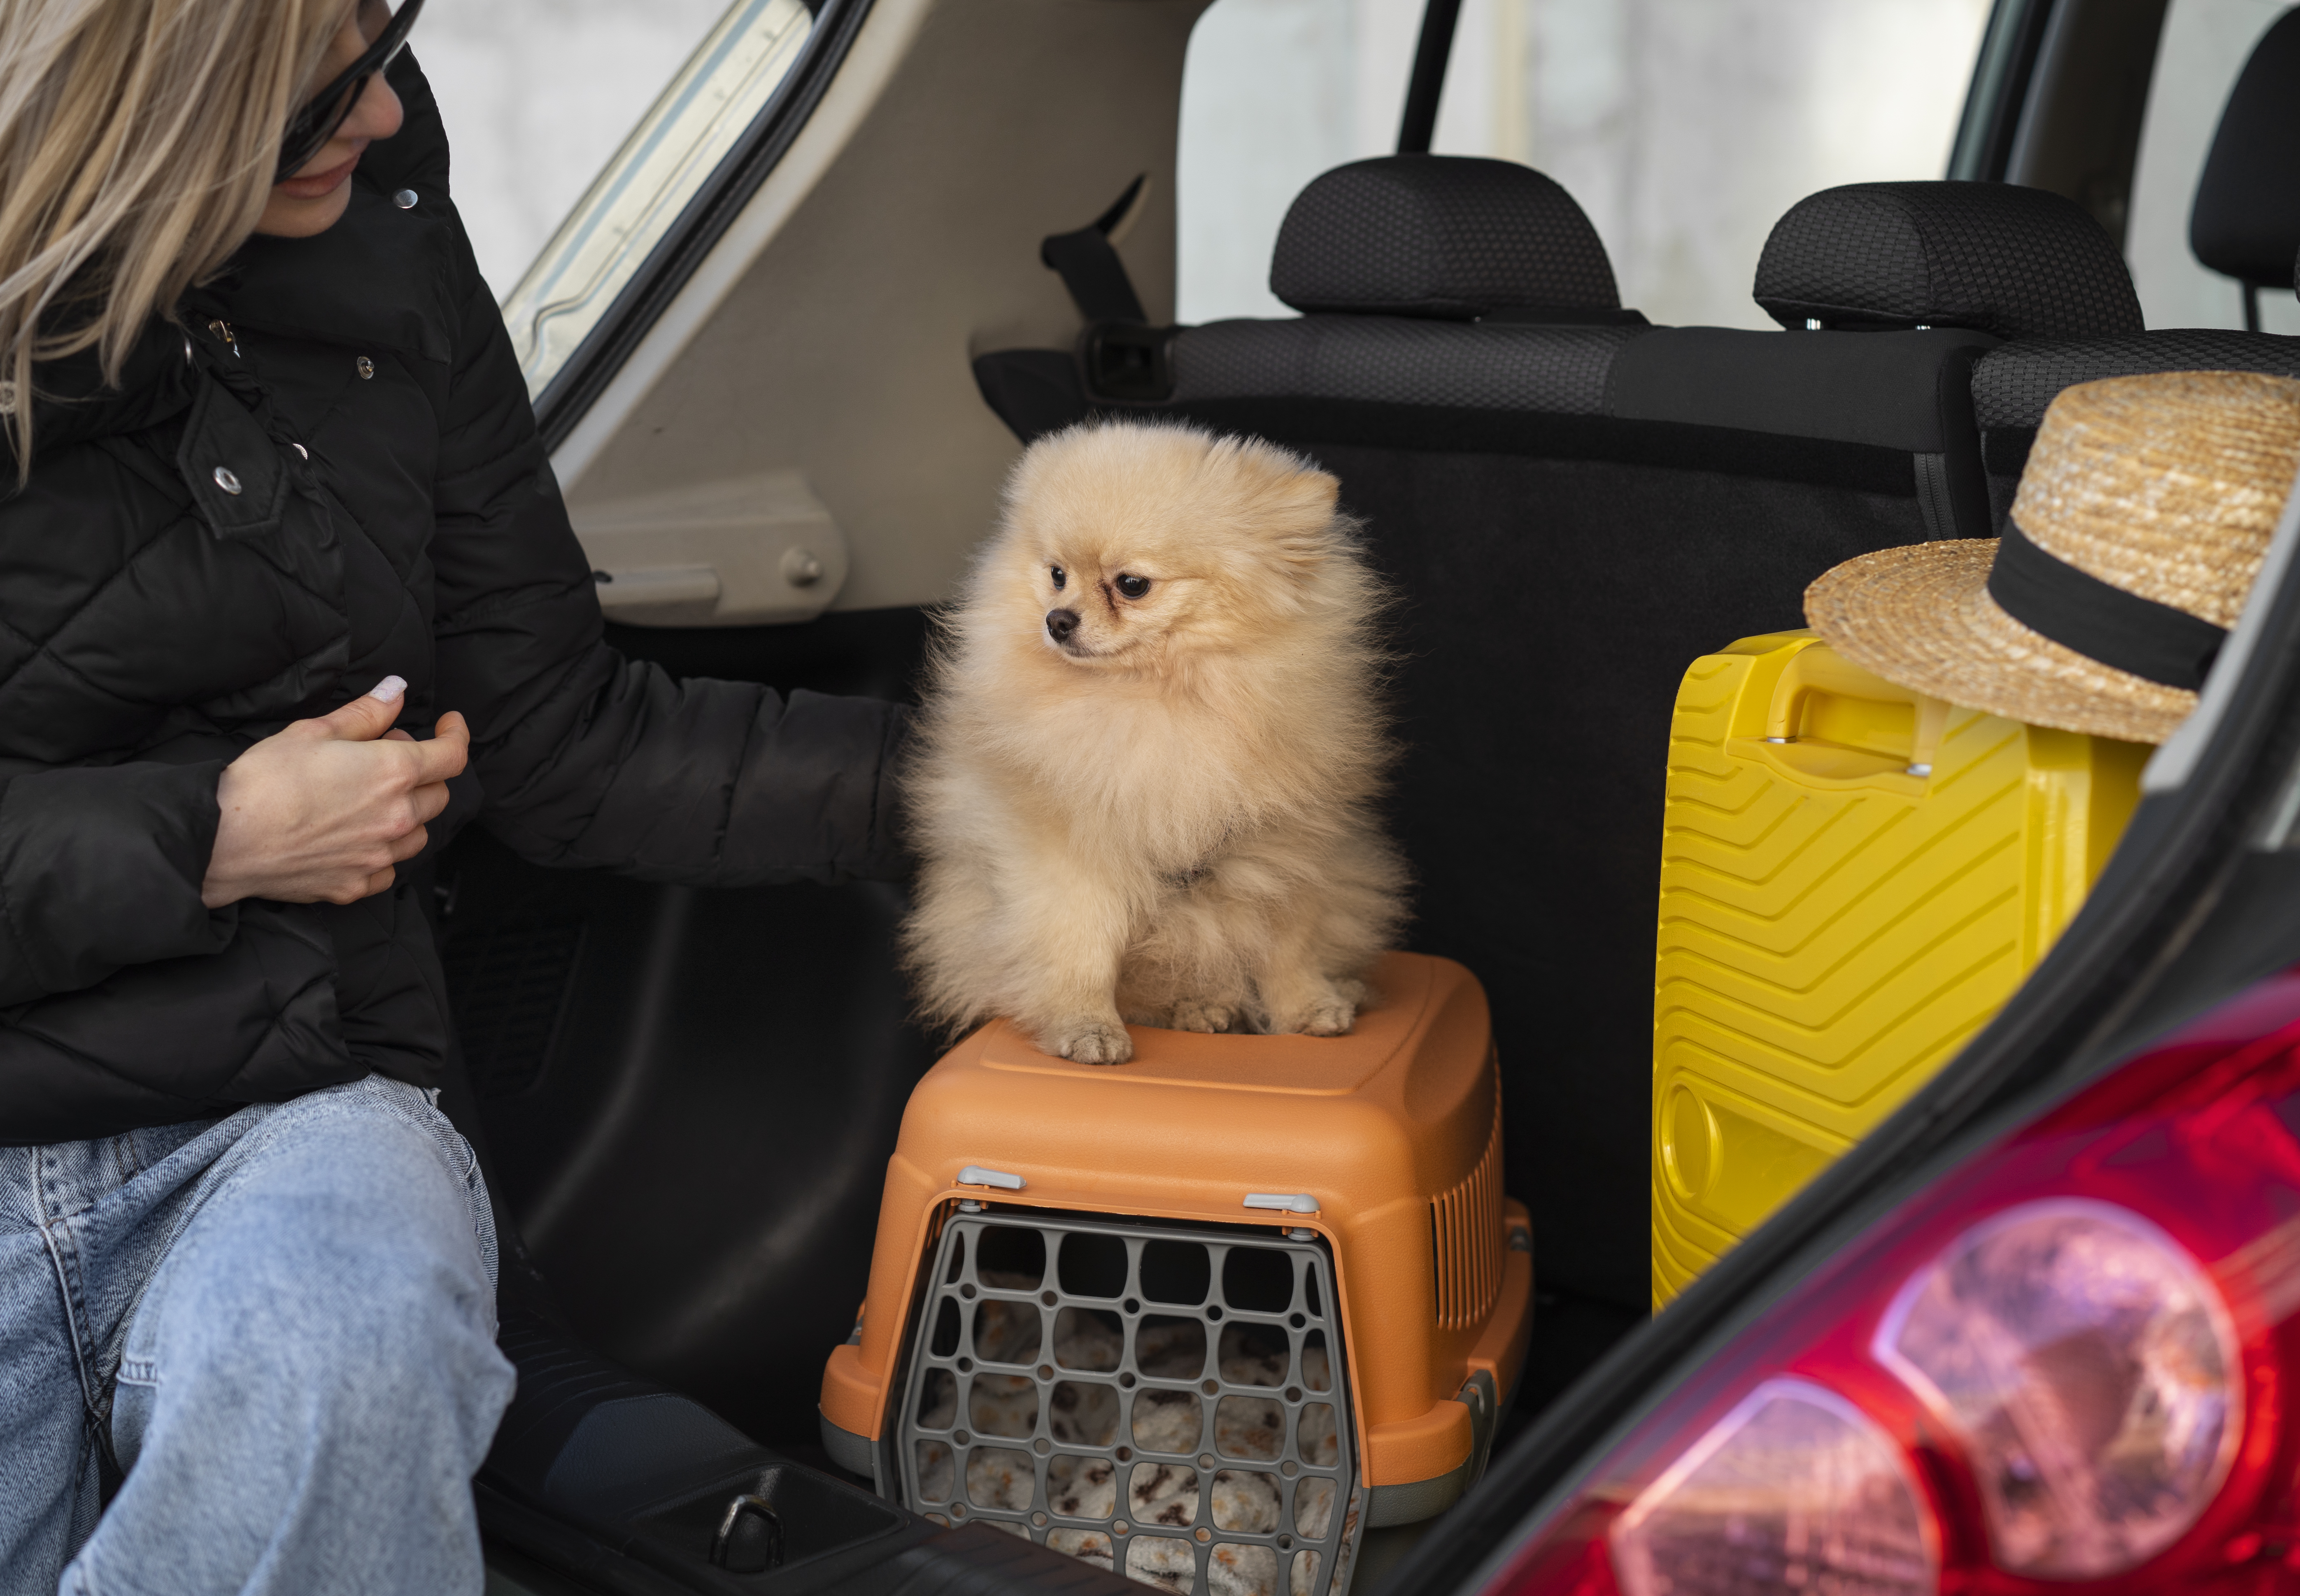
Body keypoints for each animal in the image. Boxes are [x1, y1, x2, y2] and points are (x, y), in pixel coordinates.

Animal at [892, 418, 1398, 1067]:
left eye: (1131, 585)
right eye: (1056, 574)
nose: (1057, 620)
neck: (1162, 699)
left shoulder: (1286, 848)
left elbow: (1288, 943)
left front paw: (1306, 1006)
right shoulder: (1072, 857)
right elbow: (1080, 950)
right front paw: (1086, 1026)